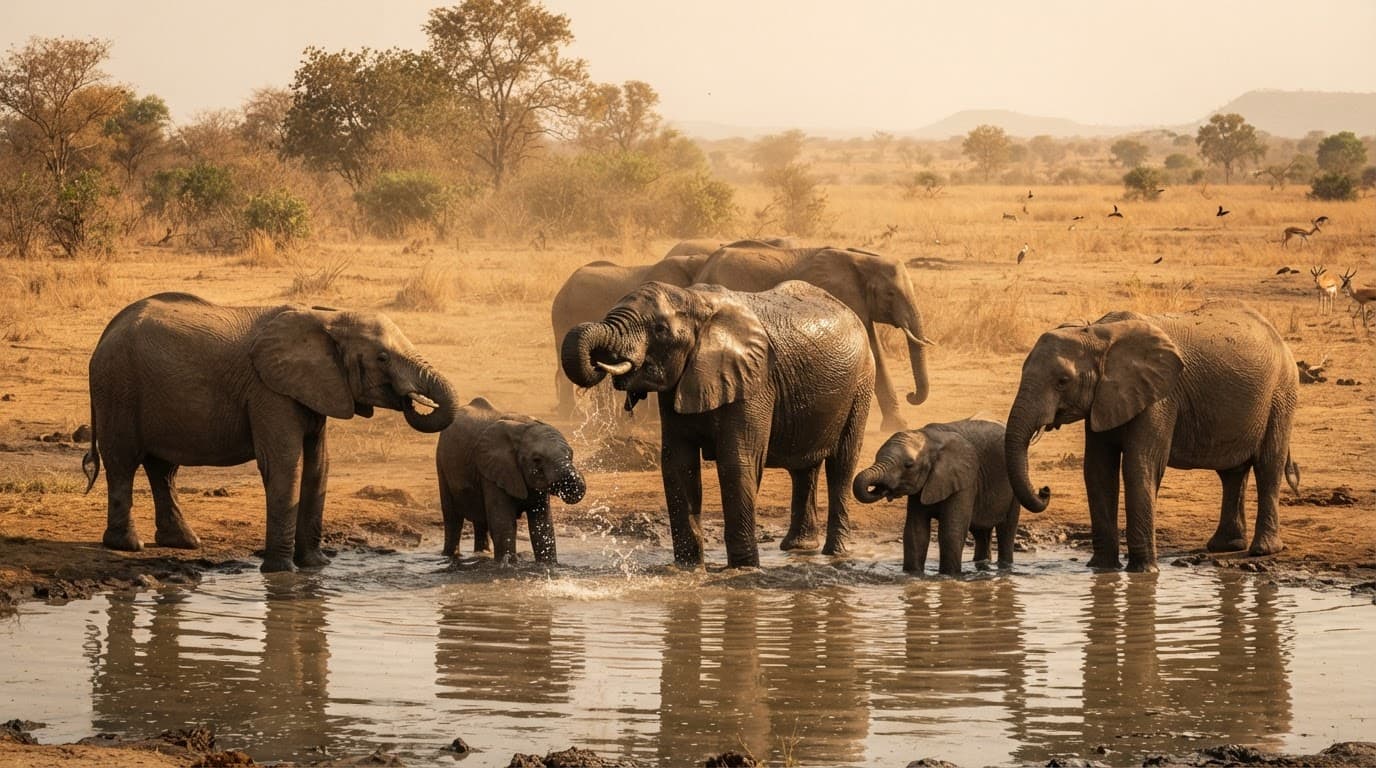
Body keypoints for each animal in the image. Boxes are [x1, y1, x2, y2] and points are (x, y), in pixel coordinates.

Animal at [83, 292, 458, 572]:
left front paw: (316, 566)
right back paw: (127, 545)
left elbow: (319, 467)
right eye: (382, 358)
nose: (411, 399)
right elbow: (284, 463)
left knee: (163, 468)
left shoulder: (314, 387)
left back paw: (185, 542)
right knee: (123, 462)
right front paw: (282, 572)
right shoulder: (269, 390)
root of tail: (106, 331)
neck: (328, 317)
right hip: (117, 388)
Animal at [435, 397, 586, 563]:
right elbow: (503, 524)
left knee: (480, 520)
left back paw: (482, 554)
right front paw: (508, 565)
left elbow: (542, 526)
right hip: (441, 462)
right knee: (452, 518)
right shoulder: (493, 471)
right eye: (537, 460)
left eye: (571, 454)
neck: (525, 425)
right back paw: (450, 556)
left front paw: (548, 565)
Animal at [561, 280, 874, 567]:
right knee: (804, 469)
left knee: (842, 464)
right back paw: (799, 549)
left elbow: (737, 463)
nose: (601, 362)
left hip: (861, 383)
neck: (694, 300)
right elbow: (677, 465)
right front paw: (688, 568)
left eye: (660, 330)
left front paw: (744, 569)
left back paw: (835, 553)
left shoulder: (754, 381)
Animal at [853, 419, 1022, 575]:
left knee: (1006, 531)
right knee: (980, 532)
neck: (928, 438)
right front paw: (913, 575)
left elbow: (951, 532)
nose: (884, 489)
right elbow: (916, 533)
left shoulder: (965, 481)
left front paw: (949, 576)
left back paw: (1004, 567)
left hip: (1013, 491)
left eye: (909, 465)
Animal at [1004, 300, 1300, 572]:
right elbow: (1097, 470)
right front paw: (1101, 569)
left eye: (1062, 381)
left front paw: (1143, 572)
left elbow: (1140, 466)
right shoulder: (1104, 399)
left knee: (1268, 466)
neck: (1098, 334)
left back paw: (1262, 550)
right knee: (1232, 472)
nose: (1045, 490)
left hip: (1281, 393)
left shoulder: (1160, 397)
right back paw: (1225, 546)